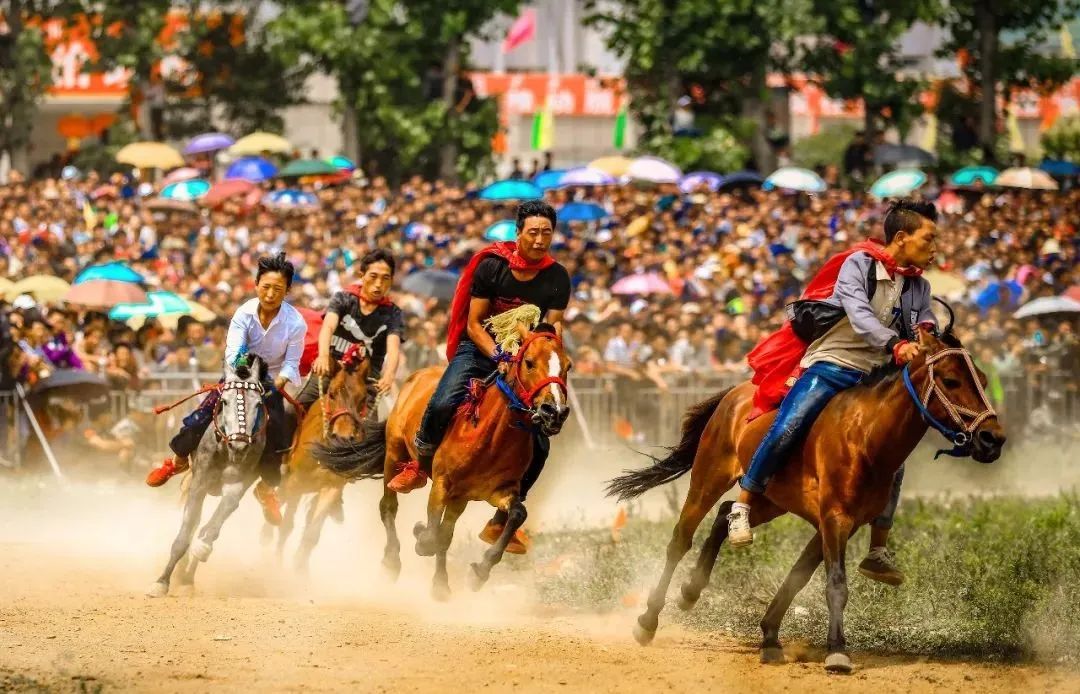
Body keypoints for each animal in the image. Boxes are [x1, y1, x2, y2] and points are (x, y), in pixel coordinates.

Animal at [147, 356, 270, 600]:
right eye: (224, 402)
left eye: (258, 404)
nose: (239, 446)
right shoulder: (199, 484)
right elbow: (185, 535)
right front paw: (161, 582)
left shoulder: (236, 487)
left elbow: (210, 530)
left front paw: (201, 551)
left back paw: (187, 578)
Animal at [274, 343, 371, 574]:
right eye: (333, 394)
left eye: (363, 399)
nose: (343, 437)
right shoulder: (295, 483)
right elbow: (286, 525)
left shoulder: (331, 488)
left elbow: (311, 533)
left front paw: (299, 571)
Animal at [315, 323, 574, 600]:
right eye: (529, 362)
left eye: (568, 366)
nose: (554, 412)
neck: (490, 435)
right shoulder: (442, 484)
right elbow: (433, 534)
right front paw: (420, 537)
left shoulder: (498, 491)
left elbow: (516, 513)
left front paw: (479, 571)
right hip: (394, 454)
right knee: (388, 507)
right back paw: (391, 561)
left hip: (460, 497)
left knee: (447, 530)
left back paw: (440, 584)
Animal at [609, 323, 1002, 673]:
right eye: (951, 381)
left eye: (983, 381)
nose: (993, 439)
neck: (865, 436)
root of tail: (734, 394)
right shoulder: (834, 519)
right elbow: (836, 584)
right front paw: (837, 652)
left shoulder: (842, 522)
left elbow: (799, 576)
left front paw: (770, 636)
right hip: (709, 477)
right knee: (681, 538)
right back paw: (647, 620)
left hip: (772, 499)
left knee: (727, 513)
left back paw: (691, 589)